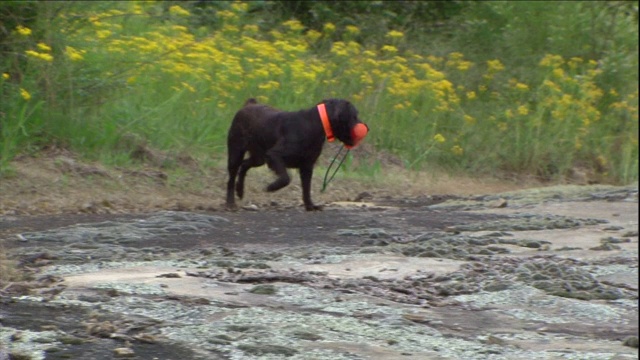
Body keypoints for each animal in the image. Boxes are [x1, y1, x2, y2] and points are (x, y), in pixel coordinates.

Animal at [225, 98, 368, 211]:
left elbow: (306, 188)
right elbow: (285, 178)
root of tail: (248, 105)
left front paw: (310, 206)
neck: (315, 124)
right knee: (231, 178)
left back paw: (240, 191)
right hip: (236, 153)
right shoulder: (274, 155)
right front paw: (271, 187)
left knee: (244, 165)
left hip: (259, 157)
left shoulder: (307, 166)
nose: (366, 127)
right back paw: (230, 203)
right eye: (354, 116)